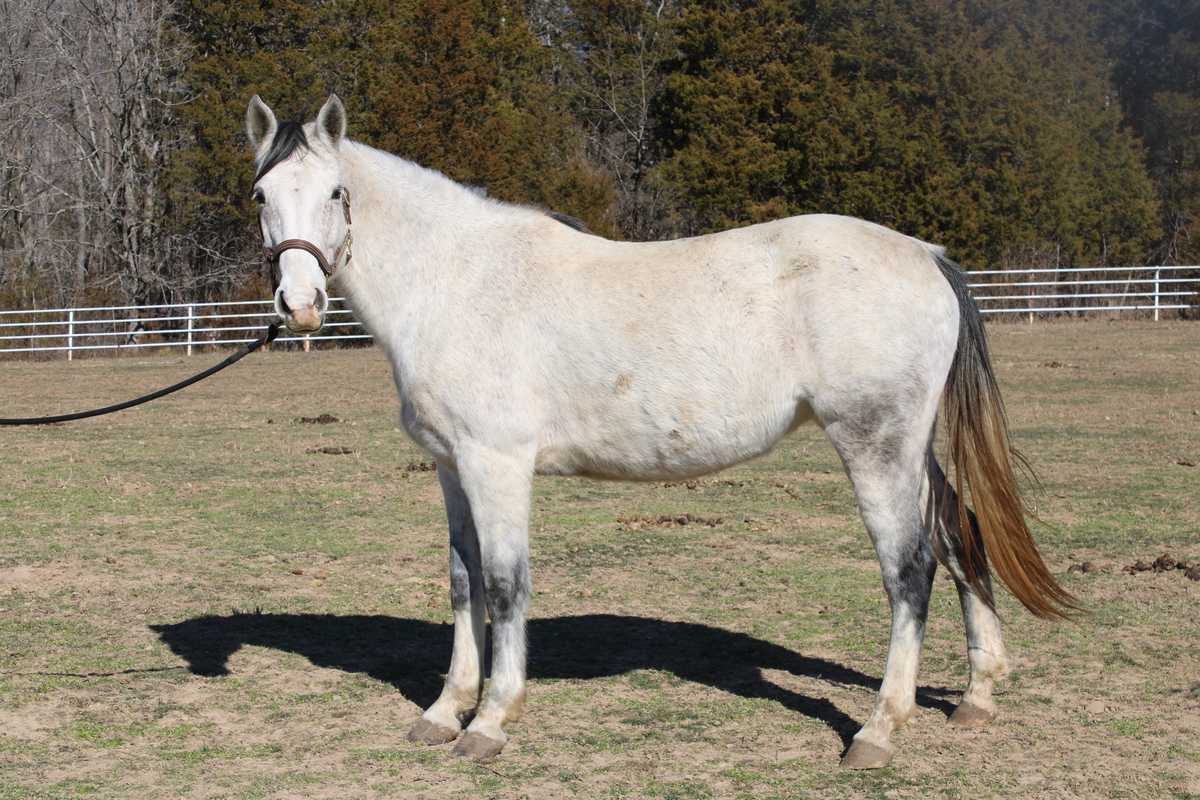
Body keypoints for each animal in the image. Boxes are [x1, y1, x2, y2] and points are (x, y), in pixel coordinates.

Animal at [245, 94, 1077, 769]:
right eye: (260, 194)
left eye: (335, 191)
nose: (301, 304)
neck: (459, 279)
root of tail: (928, 256)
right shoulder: (452, 467)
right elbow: (462, 582)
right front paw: (445, 711)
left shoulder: (496, 464)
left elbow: (506, 586)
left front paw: (489, 722)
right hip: (912, 449)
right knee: (960, 532)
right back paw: (977, 694)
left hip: (875, 446)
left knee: (911, 570)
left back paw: (878, 730)